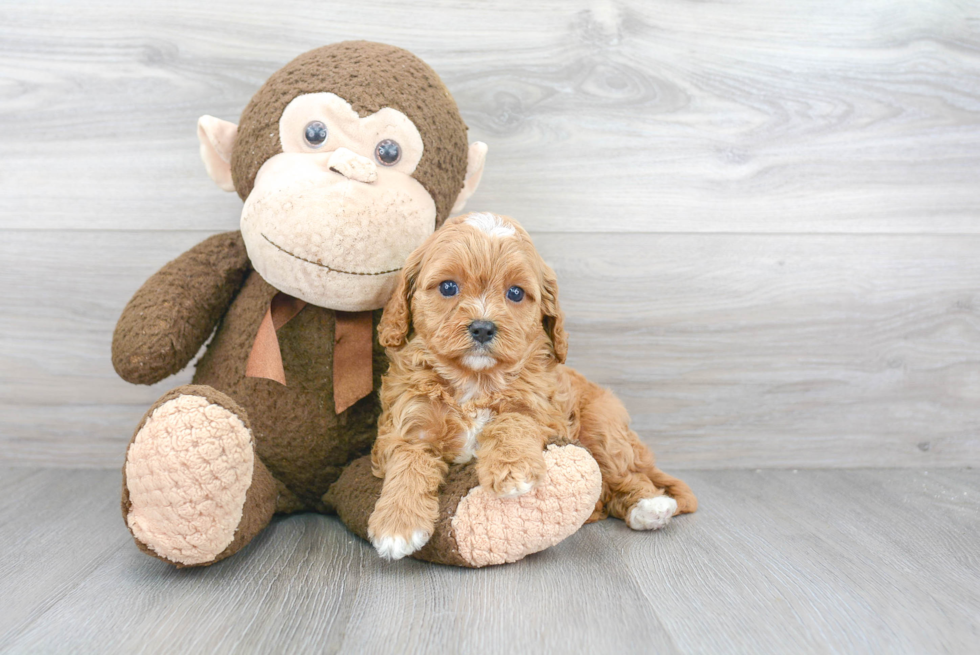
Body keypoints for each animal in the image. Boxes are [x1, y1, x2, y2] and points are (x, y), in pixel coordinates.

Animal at [368, 214, 696, 560]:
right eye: (448, 287)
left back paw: (649, 506)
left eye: (515, 293)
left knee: (625, 474)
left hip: (602, 425)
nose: (482, 327)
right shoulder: (406, 426)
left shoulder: (543, 411)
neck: (475, 381)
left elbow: (512, 420)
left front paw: (513, 469)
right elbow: (409, 461)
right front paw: (398, 524)